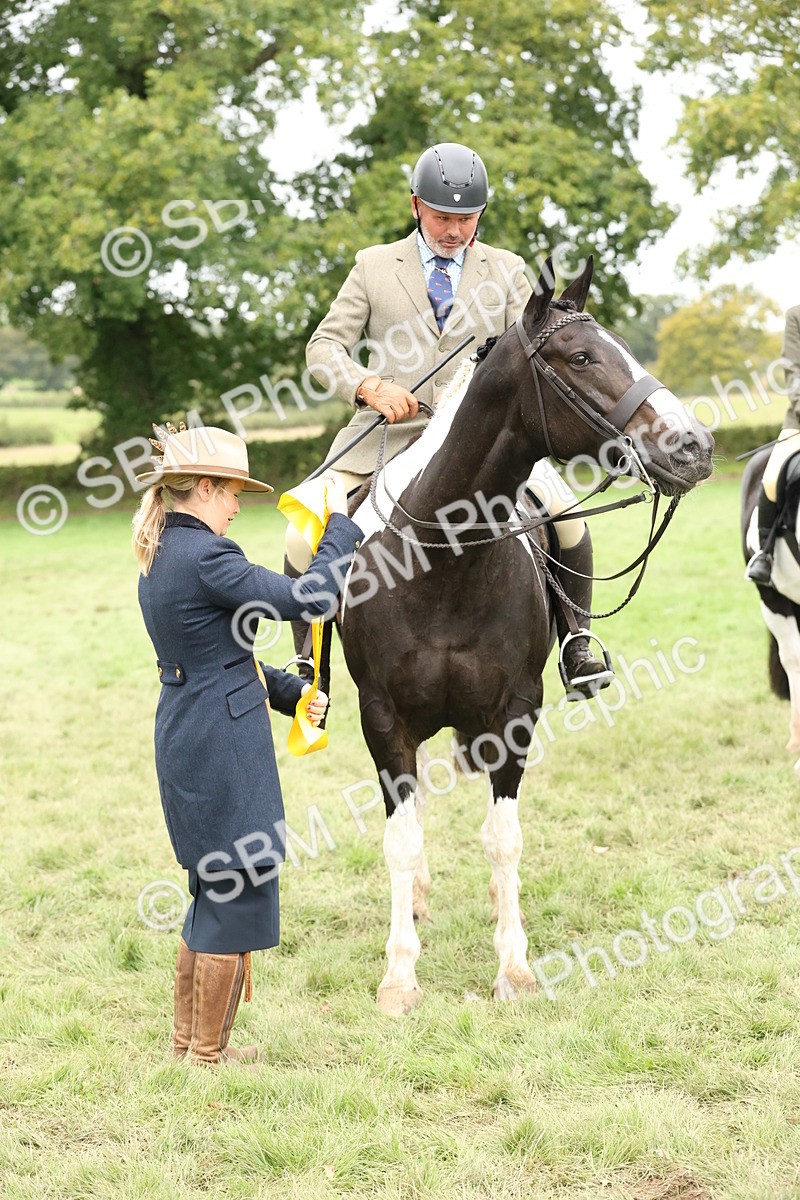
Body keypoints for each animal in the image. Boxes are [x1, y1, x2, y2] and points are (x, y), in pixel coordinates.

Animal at [338, 256, 715, 1014]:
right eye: (581, 357)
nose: (694, 446)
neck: (443, 561)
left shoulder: (512, 712)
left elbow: (503, 838)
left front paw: (513, 966)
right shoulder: (383, 718)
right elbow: (400, 838)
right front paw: (399, 976)